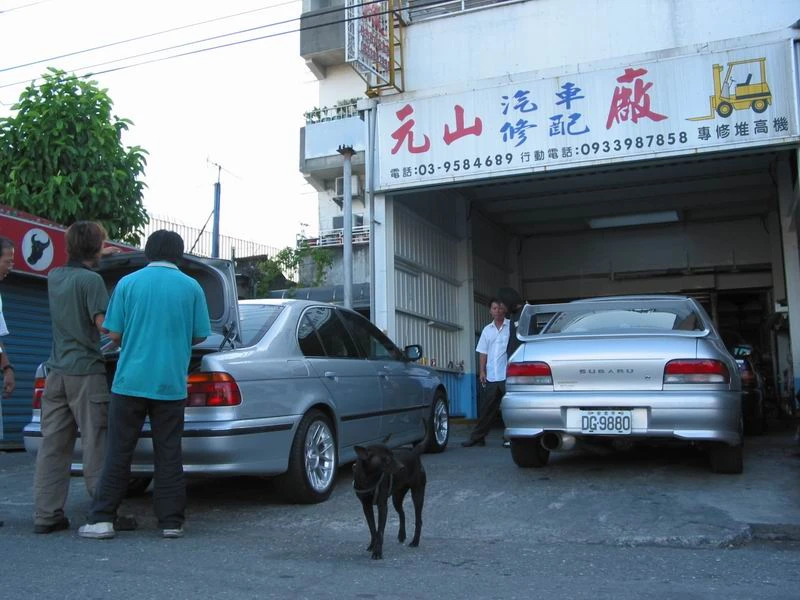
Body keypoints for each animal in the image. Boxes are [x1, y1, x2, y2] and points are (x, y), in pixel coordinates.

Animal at [354, 422, 428, 556]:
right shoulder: (366, 506)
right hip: (396, 499)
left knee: (418, 520)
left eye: (393, 454)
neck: (370, 477)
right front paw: (372, 546)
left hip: (418, 494)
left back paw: (415, 541)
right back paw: (402, 535)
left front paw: (377, 552)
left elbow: (380, 531)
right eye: (387, 459)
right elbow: (372, 528)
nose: (402, 467)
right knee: (402, 514)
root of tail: (414, 452)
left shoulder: (382, 506)